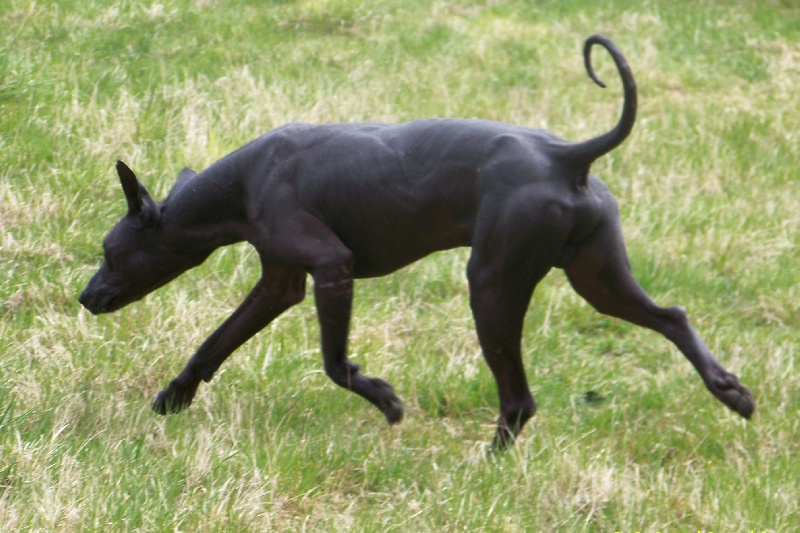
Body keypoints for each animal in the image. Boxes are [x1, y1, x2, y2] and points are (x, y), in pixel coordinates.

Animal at [78, 34, 752, 448]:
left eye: (110, 253)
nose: (86, 297)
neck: (243, 183)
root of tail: (567, 156)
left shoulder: (331, 267)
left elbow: (333, 363)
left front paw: (384, 400)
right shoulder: (279, 283)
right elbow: (214, 343)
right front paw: (174, 397)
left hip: (493, 286)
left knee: (520, 400)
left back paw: (485, 465)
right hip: (598, 278)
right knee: (671, 316)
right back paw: (732, 393)